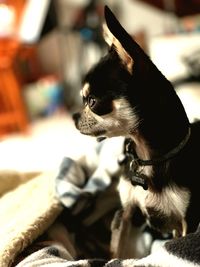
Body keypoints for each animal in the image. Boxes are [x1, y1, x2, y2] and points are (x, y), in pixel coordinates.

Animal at [73, 5, 200, 264]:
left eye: (92, 102)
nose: (73, 117)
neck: (148, 158)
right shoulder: (125, 213)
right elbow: (117, 250)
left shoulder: (187, 224)